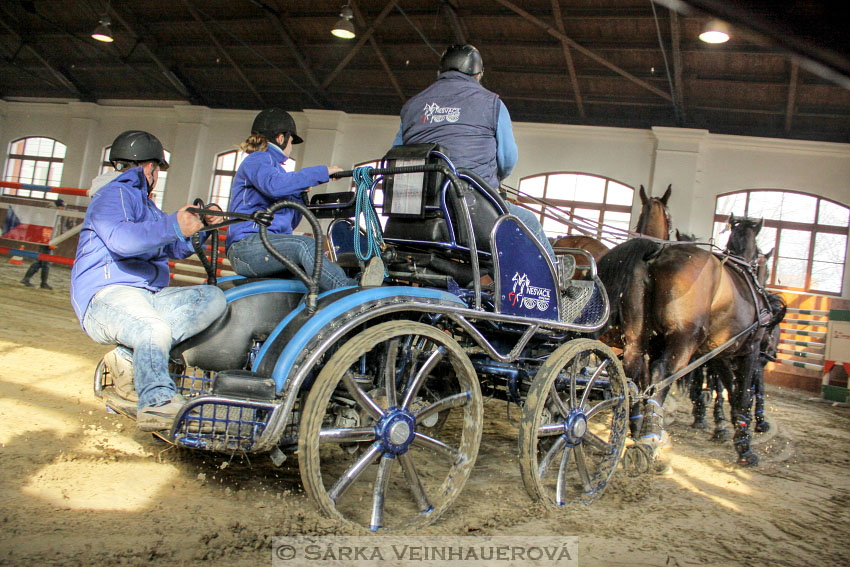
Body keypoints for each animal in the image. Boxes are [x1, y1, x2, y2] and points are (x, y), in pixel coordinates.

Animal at [592, 215, 780, 468]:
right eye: (766, 265)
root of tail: (656, 252)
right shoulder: (748, 351)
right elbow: (741, 395)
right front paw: (745, 448)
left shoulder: (720, 355)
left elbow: (730, 392)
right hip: (684, 339)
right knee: (662, 375)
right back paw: (649, 439)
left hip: (637, 339)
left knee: (632, 375)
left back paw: (637, 427)